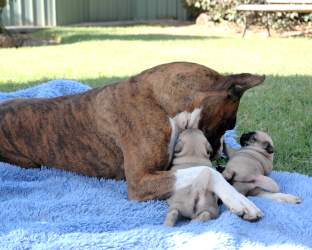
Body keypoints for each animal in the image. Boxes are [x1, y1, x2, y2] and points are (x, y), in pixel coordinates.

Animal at [0, 62, 264, 221]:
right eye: (229, 124)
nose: (219, 152)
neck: (160, 102)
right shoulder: (140, 181)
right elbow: (206, 172)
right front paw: (239, 200)